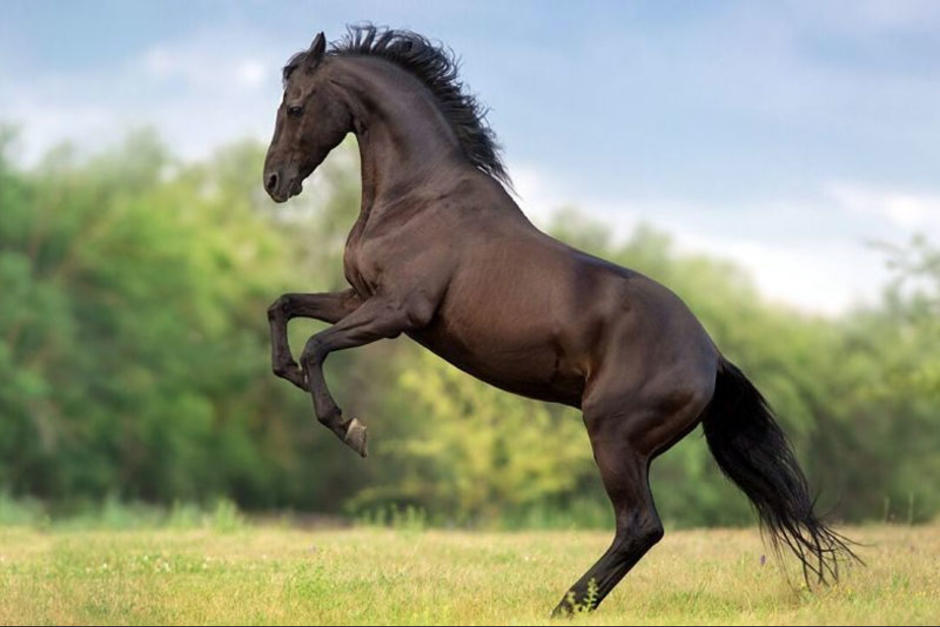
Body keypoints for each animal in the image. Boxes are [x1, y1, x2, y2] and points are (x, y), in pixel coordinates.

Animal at [260, 25, 856, 620]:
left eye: (295, 107)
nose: (273, 181)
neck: (419, 198)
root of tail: (711, 358)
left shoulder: (396, 311)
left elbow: (316, 346)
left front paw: (348, 427)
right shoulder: (358, 297)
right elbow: (283, 308)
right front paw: (291, 375)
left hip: (613, 437)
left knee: (640, 526)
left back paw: (566, 606)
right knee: (640, 529)